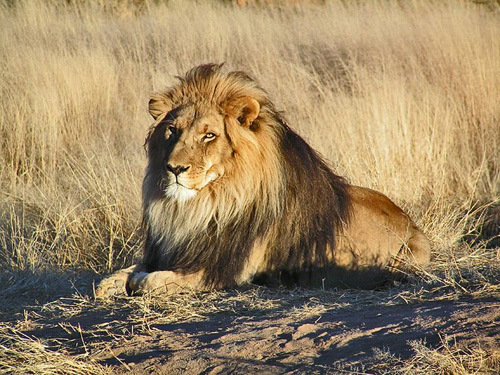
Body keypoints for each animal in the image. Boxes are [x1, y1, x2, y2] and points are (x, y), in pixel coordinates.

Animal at [95, 64, 432, 300]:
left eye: (209, 135)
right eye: (173, 130)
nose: (174, 168)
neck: (203, 205)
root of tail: (410, 221)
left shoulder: (224, 270)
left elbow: (151, 280)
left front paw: (138, 282)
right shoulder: (170, 251)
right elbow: (123, 273)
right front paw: (111, 283)